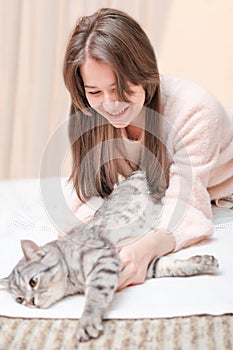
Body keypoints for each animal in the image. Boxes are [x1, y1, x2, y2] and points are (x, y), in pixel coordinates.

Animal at [0, 172, 218, 342]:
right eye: (19, 299)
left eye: (33, 281)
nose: (30, 303)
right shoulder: (147, 265)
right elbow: (173, 266)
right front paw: (202, 263)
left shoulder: (103, 259)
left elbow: (95, 296)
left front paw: (87, 321)